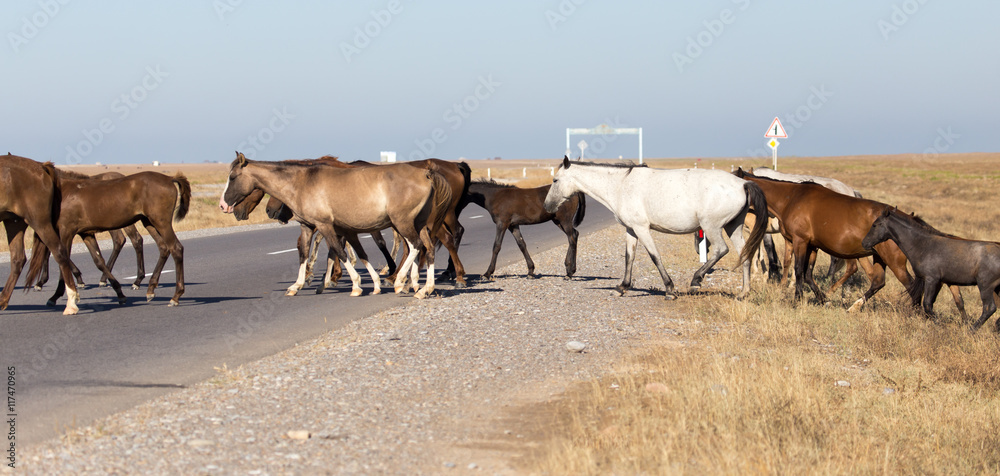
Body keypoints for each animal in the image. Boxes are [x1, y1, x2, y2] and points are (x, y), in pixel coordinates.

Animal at [0, 154, 80, 315]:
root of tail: (41, 166)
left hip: (40, 222)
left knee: (59, 252)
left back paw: (71, 303)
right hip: (14, 222)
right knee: (18, 259)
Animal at [26, 171, 191, 307]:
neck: (64, 193)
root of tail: (169, 178)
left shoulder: (67, 232)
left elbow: (62, 260)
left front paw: (54, 295)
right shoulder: (86, 234)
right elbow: (99, 261)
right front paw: (118, 292)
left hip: (161, 223)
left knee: (175, 248)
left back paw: (175, 296)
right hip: (148, 222)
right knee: (163, 247)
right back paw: (150, 289)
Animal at [219, 152, 452, 298]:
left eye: (233, 177)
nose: (224, 205)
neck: (302, 183)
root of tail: (425, 173)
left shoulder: (325, 226)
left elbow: (340, 252)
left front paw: (356, 285)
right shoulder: (309, 227)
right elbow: (305, 254)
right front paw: (296, 285)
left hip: (402, 223)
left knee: (415, 246)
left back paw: (400, 282)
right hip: (418, 223)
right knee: (428, 248)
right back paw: (423, 288)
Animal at [544, 158, 768, 299]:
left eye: (555, 180)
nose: (547, 206)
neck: (621, 185)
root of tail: (743, 184)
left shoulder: (642, 229)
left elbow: (654, 256)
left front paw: (669, 289)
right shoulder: (631, 230)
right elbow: (629, 257)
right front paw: (621, 288)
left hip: (712, 227)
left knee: (722, 250)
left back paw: (696, 281)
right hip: (733, 226)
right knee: (745, 254)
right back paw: (743, 293)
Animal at [862, 209, 1000, 330]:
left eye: (875, 225)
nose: (864, 243)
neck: (924, 245)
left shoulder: (931, 280)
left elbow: (927, 305)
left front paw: (939, 325)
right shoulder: (939, 282)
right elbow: (931, 304)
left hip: (985, 286)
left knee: (989, 308)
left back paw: (972, 330)